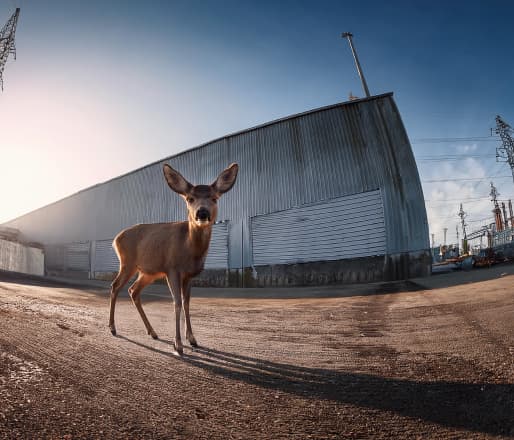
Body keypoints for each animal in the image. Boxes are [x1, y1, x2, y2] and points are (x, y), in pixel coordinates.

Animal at [109, 163, 237, 356]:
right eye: (190, 198)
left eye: (214, 198)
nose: (202, 212)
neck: (190, 249)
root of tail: (115, 239)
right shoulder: (172, 269)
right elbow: (176, 302)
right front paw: (178, 344)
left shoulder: (189, 275)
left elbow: (186, 303)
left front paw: (192, 339)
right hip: (127, 263)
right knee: (115, 286)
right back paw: (112, 328)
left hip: (148, 272)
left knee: (133, 290)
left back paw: (152, 332)